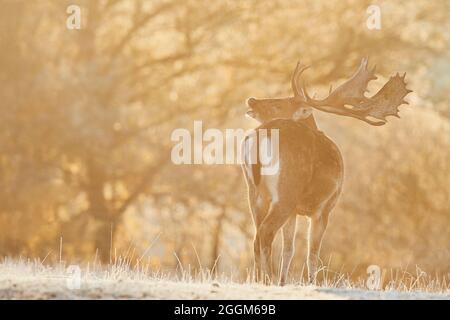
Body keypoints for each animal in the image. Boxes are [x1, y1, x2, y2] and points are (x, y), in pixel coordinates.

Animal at [243, 57, 412, 284]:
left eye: (279, 103)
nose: (252, 100)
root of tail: (263, 134)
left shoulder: (295, 212)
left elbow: (289, 249)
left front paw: (284, 281)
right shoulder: (324, 208)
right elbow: (312, 253)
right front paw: (310, 283)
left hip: (255, 194)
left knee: (256, 237)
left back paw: (261, 279)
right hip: (287, 191)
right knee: (265, 233)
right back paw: (267, 280)